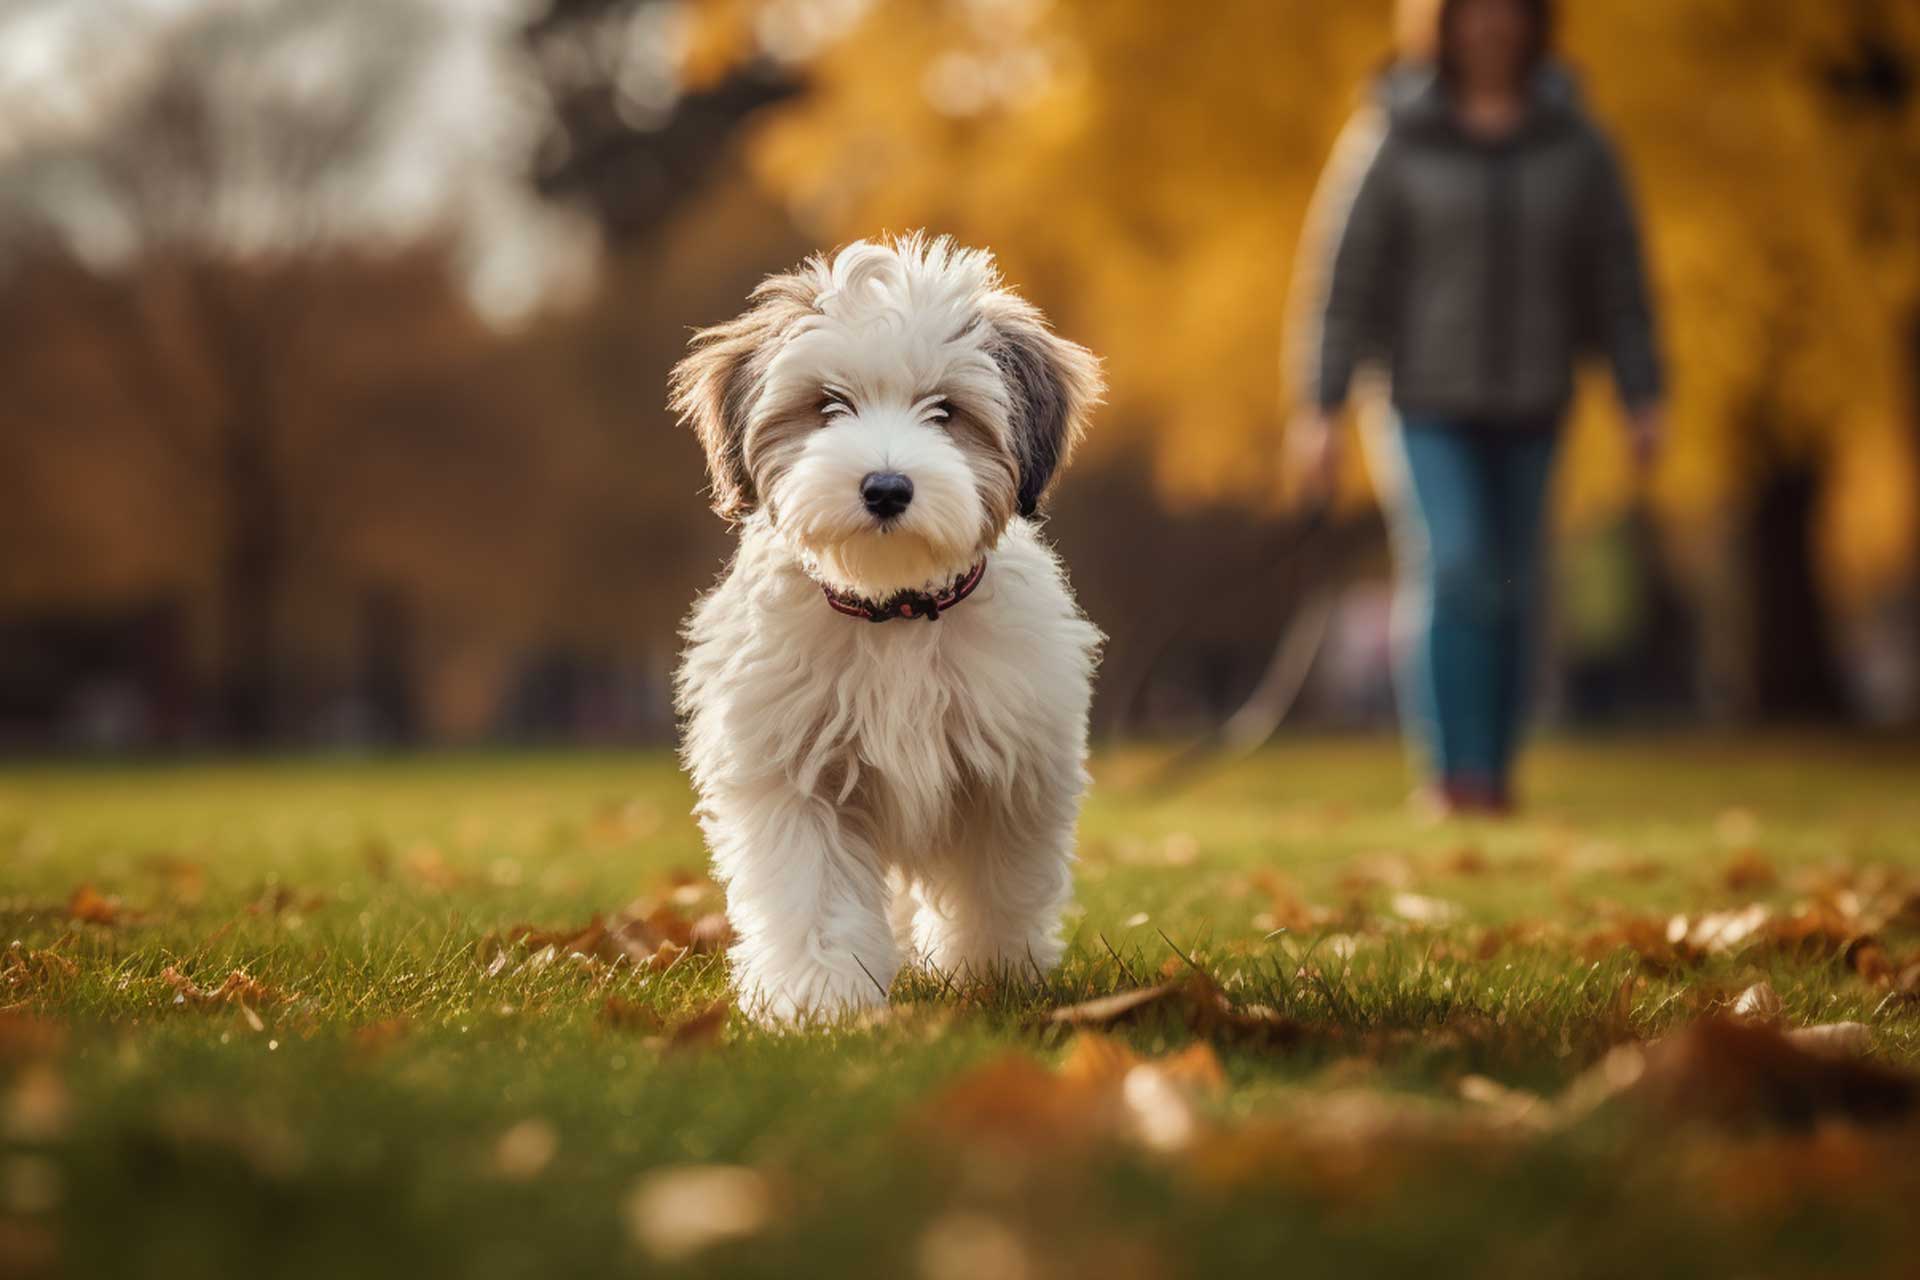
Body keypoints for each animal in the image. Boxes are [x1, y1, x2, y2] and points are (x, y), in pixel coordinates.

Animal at [668, 235, 1105, 1028]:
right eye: (828, 405)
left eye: (946, 411)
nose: (886, 487)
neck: (893, 611)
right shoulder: (793, 768)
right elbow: (810, 889)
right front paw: (819, 996)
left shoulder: (1010, 771)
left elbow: (995, 883)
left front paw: (989, 976)